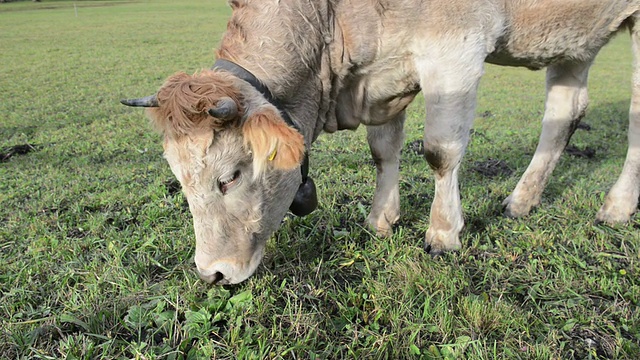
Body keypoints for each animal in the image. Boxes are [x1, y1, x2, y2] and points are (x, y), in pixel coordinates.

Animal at [121, 1, 640, 286]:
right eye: (180, 182)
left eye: (229, 177)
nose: (212, 273)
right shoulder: (386, 75)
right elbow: (383, 150)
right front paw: (380, 220)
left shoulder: (455, 48)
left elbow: (440, 151)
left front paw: (443, 233)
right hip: (570, 40)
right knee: (564, 112)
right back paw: (522, 201)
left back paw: (616, 207)